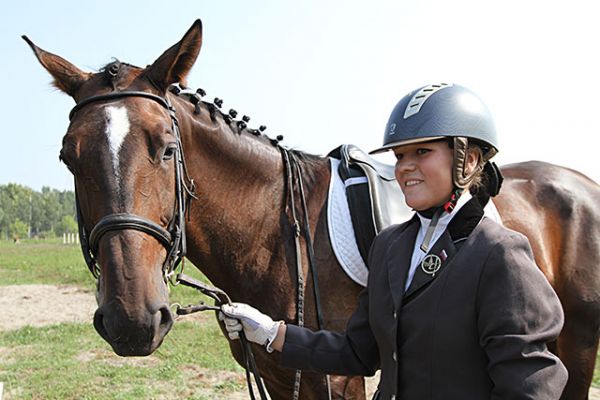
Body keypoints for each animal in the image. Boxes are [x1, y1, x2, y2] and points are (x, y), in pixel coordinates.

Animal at [23, 19, 600, 400]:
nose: (132, 320)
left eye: (166, 148)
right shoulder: (280, 371)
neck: (272, 235)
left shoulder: (338, 379)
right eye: (68, 157)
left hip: (577, 340)